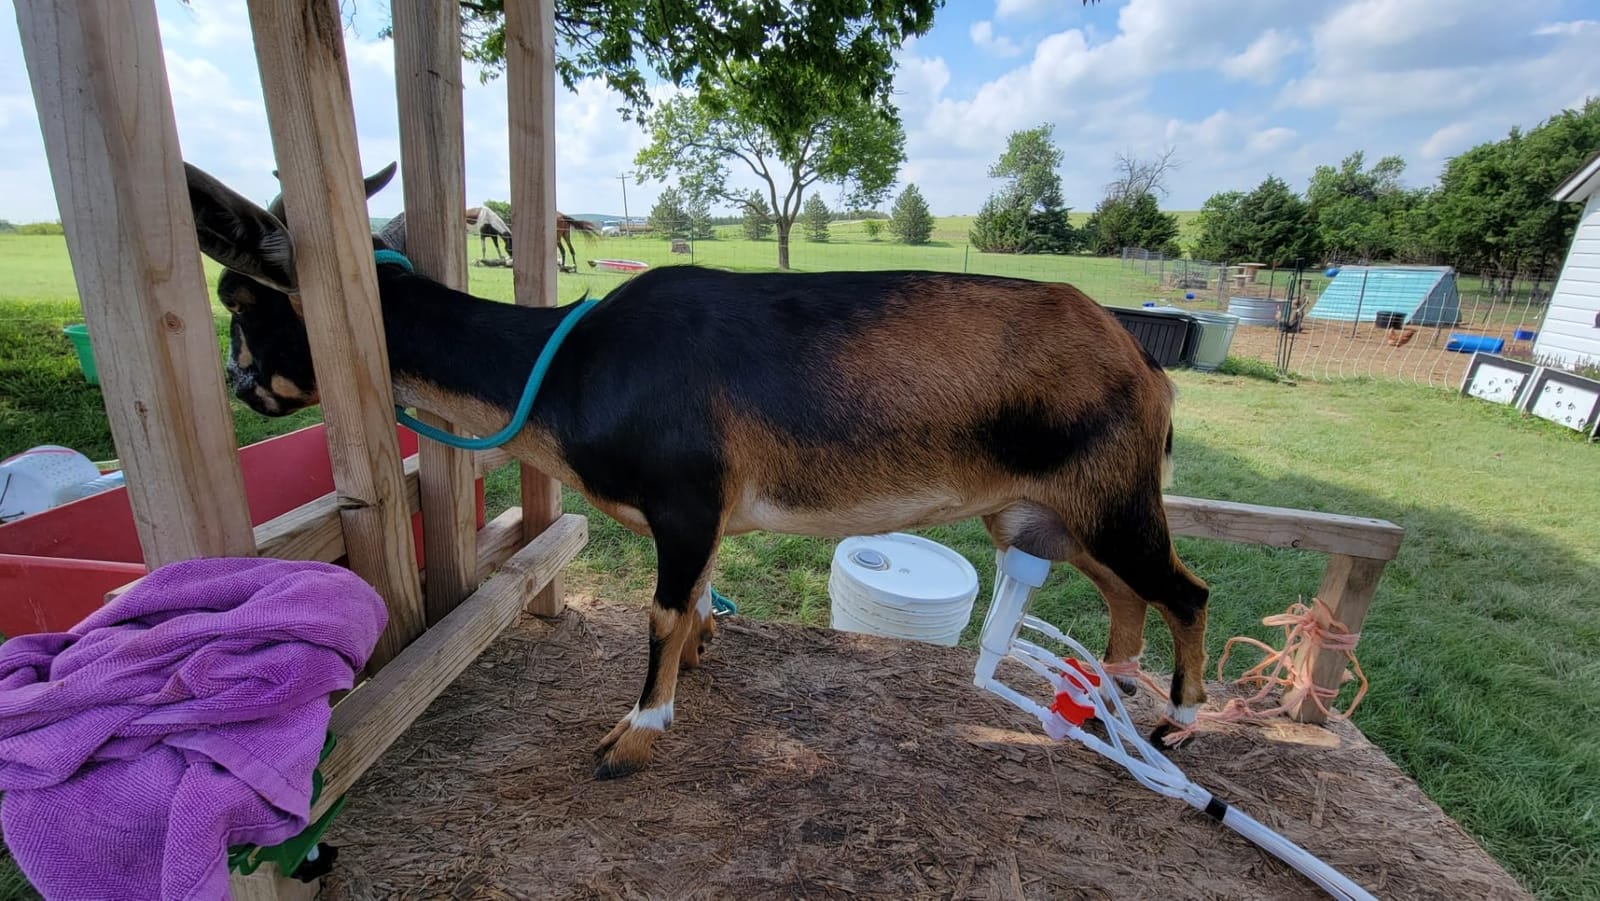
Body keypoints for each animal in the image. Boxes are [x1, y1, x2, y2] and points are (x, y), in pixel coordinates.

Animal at [183, 162, 1211, 779]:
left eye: (242, 296)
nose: (239, 386)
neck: (572, 365)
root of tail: (1144, 364)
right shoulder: (708, 516)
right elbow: (701, 600)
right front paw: (704, 655)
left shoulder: (683, 501)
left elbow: (660, 613)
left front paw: (635, 732)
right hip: (1049, 515)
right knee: (1127, 595)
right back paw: (1109, 694)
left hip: (1114, 500)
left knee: (1184, 590)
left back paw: (1177, 721)